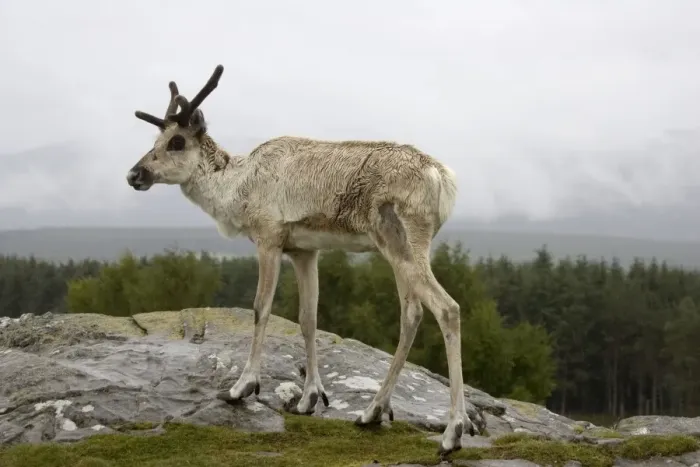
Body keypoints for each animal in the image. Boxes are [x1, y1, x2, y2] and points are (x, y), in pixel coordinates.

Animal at [126, 64, 484, 457]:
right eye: (156, 140)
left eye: (176, 142)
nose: (134, 174)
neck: (237, 187)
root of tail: (443, 178)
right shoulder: (304, 250)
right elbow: (308, 317)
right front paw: (310, 397)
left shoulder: (269, 238)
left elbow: (261, 308)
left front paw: (241, 387)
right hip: (402, 248)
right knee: (413, 313)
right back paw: (372, 412)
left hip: (401, 240)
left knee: (446, 308)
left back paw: (452, 432)